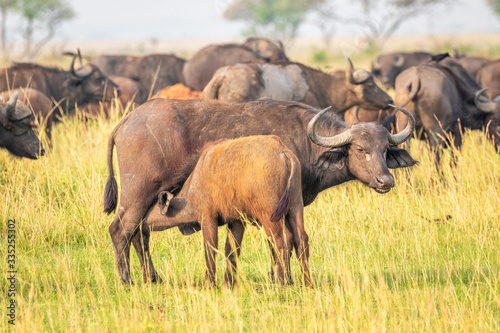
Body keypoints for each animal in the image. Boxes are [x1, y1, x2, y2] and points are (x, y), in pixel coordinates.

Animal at [103, 97, 416, 282]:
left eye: (385, 149)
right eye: (361, 149)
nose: (385, 181)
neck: (304, 140)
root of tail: (125, 123)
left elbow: (285, 242)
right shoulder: (273, 208)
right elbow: (281, 241)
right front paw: (279, 278)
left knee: (139, 234)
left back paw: (152, 278)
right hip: (137, 195)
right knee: (121, 230)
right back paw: (126, 280)